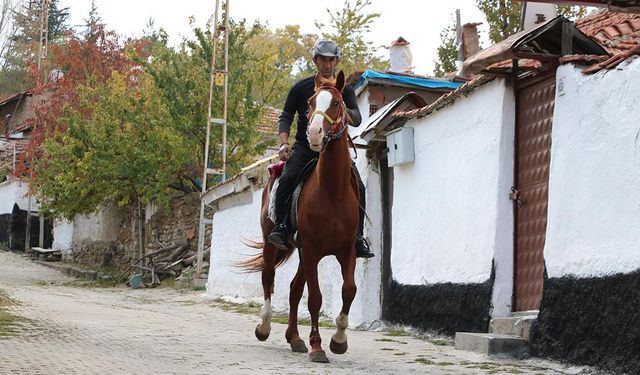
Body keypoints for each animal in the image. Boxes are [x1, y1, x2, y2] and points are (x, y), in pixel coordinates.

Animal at [240, 71, 360, 364]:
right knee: (268, 278)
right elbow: (315, 298)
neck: (332, 190)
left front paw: (339, 340)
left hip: (303, 254)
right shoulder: (312, 250)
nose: (314, 133)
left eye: (337, 103)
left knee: (294, 289)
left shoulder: (346, 250)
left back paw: (294, 338)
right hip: (274, 243)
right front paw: (318, 346)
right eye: (310, 103)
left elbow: (348, 290)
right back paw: (265, 326)